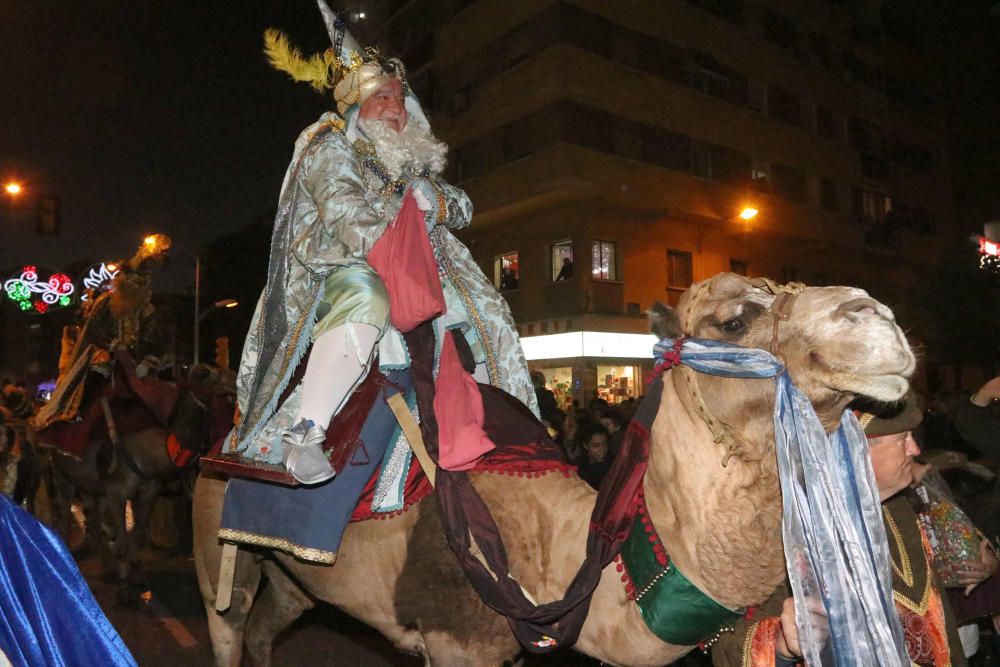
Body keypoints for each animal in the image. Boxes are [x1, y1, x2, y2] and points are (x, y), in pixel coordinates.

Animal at [191, 274, 916, 664]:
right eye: (735, 318)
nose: (876, 316)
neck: (552, 552)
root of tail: (226, 437)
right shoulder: (455, 640)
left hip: (296, 575)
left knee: (269, 625)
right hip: (217, 544)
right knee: (229, 625)